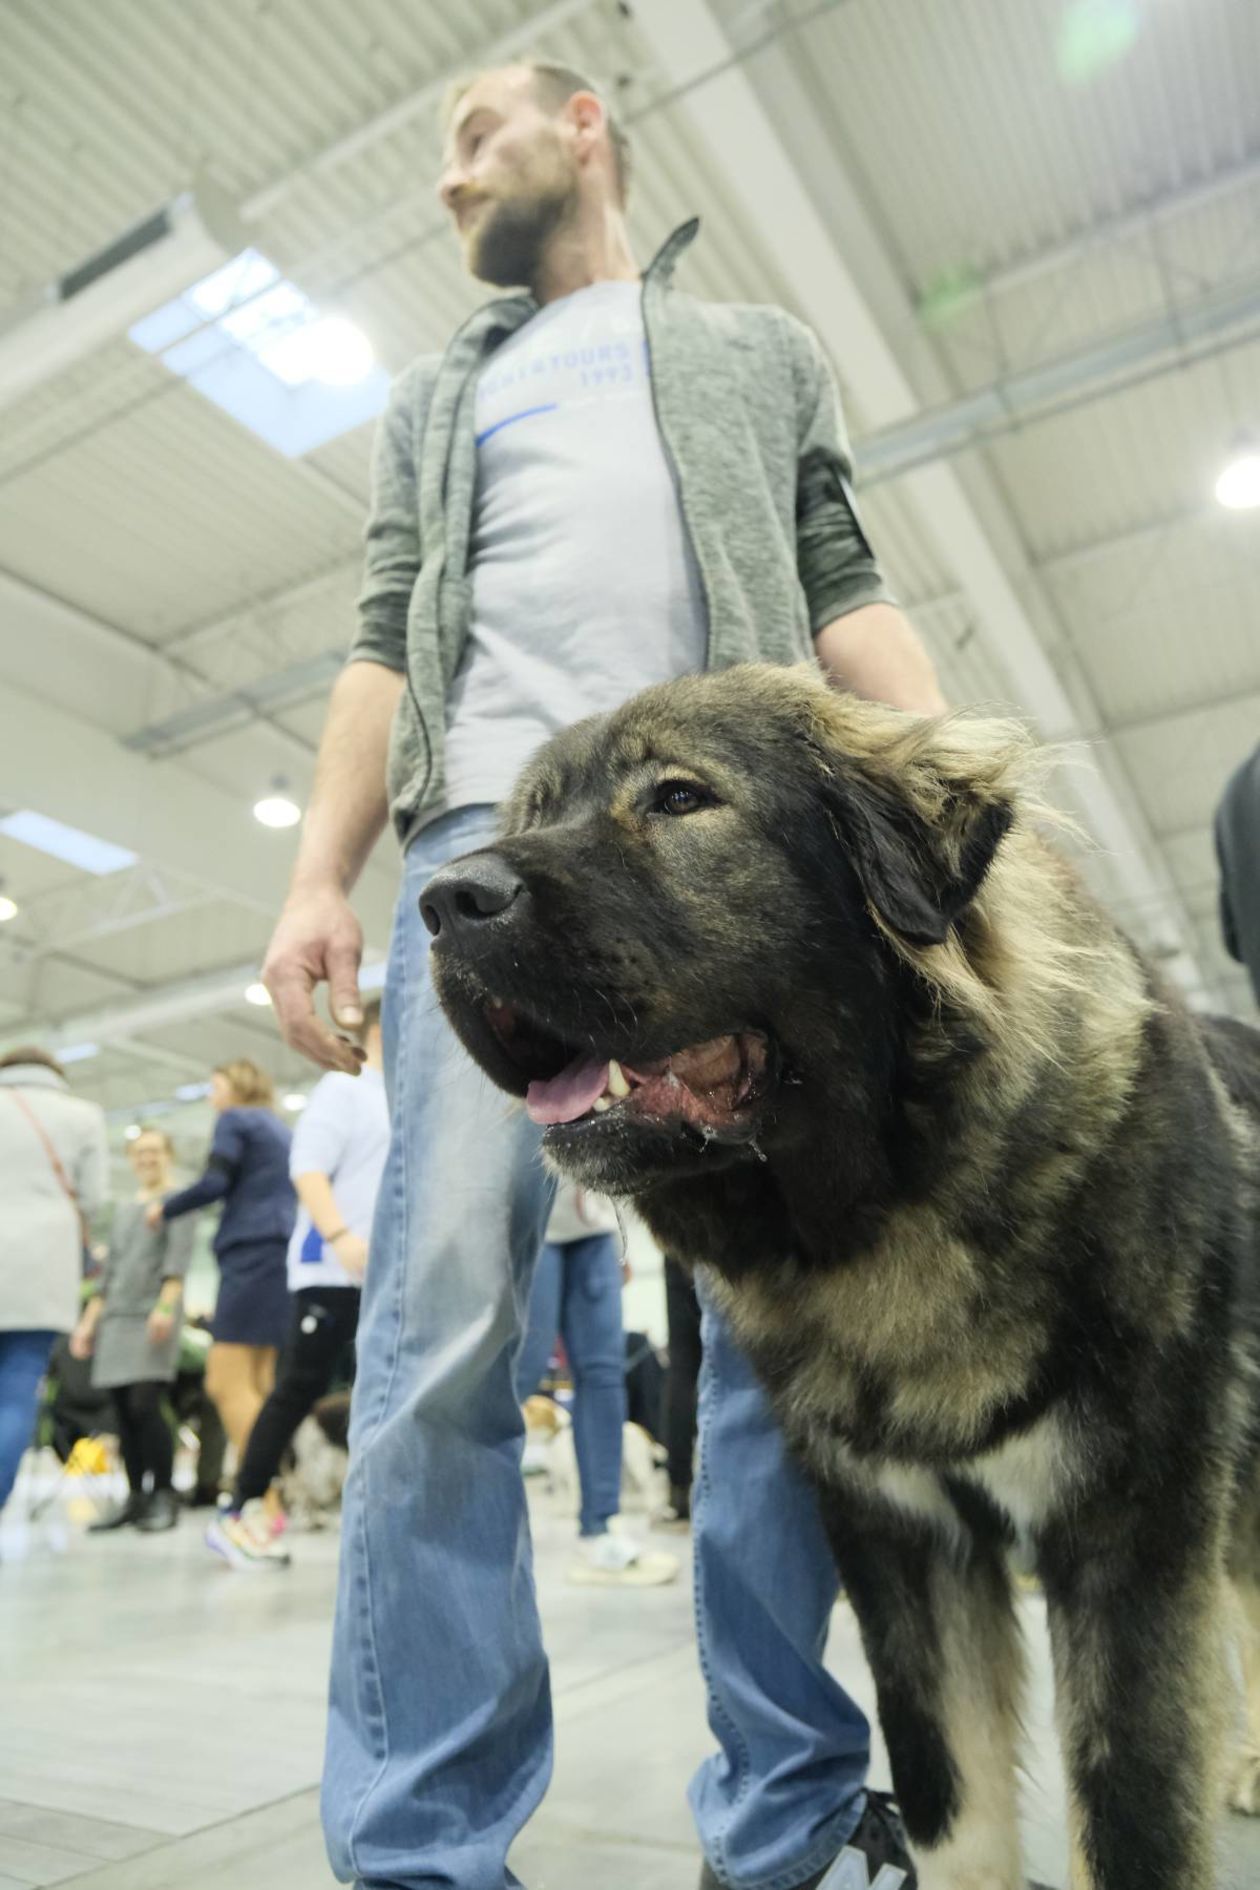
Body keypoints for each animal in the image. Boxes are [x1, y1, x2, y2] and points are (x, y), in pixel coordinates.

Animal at [421, 665, 1260, 1890]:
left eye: (679, 798)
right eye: (530, 815)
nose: (444, 900)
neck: (892, 1208)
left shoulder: (1128, 1533)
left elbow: (1136, 1817)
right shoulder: (901, 1544)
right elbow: (953, 1802)